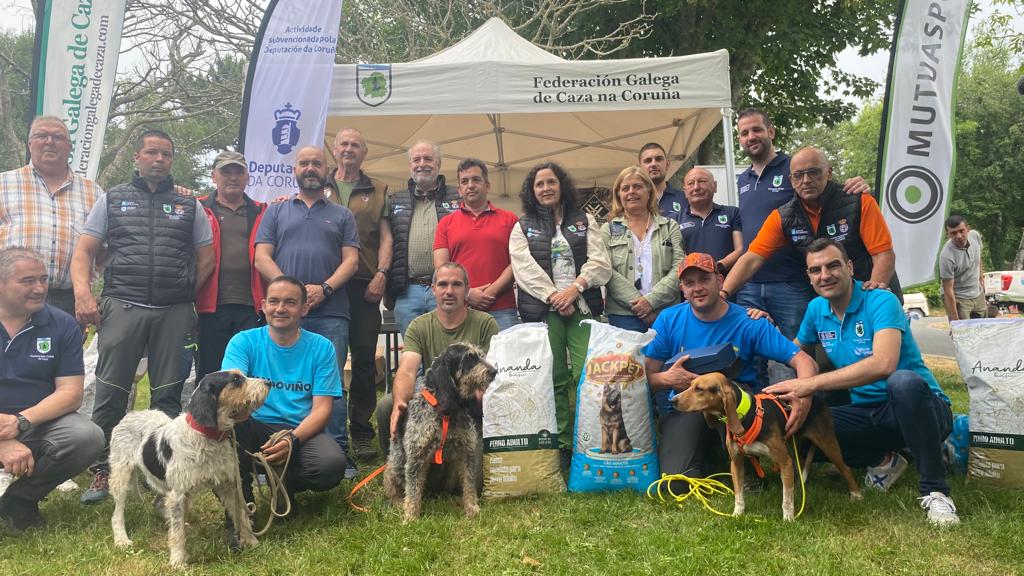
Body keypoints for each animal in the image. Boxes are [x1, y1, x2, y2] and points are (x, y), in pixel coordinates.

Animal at [109, 366, 270, 565]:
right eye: (236, 380)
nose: (268, 383)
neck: (208, 436)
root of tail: (129, 415)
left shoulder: (228, 486)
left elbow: (240, 514)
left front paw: (252, 542)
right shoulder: (178, 494)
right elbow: (178, 533)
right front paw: (178, 560)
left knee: (159, 504)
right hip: (121, 476)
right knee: (117, 515)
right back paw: (122, 540)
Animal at [385, 340, 495, 520]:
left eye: (481, 355)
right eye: (469, 358)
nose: (494, 371)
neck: (447, 412)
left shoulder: (466, 453)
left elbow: (469, 485)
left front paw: (472, 508)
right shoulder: (416, 456)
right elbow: (413, 490)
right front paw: (411, 517)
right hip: (396, 463)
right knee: (391, 481)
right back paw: (398, 502)